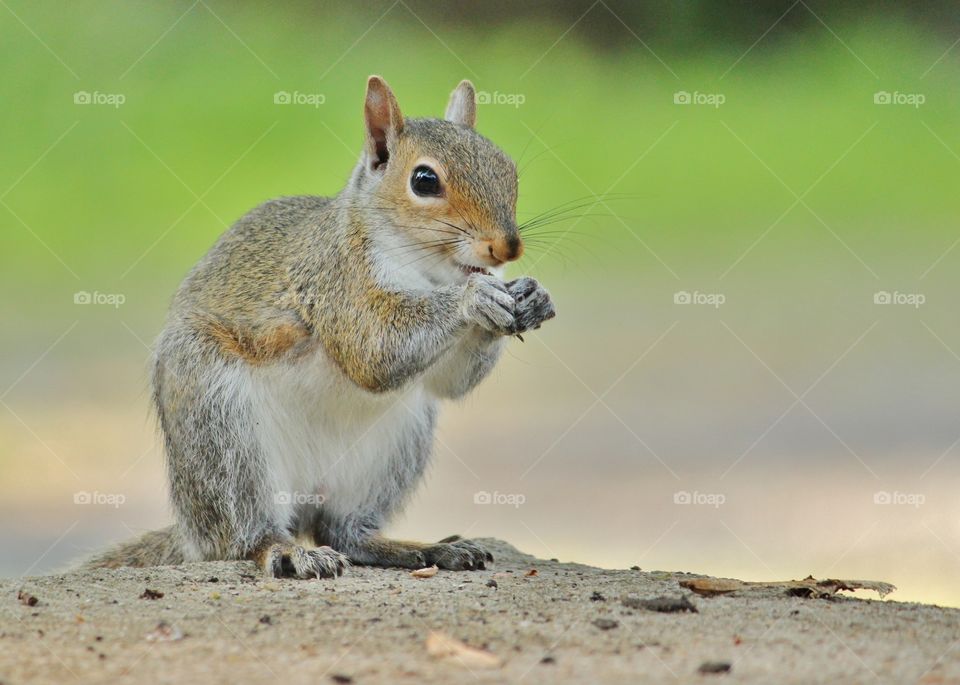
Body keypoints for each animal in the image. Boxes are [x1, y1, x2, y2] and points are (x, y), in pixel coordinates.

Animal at [82, 76, 556, 578]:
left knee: (345, 533)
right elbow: (373, 351)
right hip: (220, 430)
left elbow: (449, 383)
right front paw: (474, 298)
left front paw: (531, 296)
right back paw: (286, 550)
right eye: (424, 180)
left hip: (393, 449)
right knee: (244, 535)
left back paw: (424, 549)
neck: (430, 271)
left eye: (508, 168)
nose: (507, 247)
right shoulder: (335, 282)